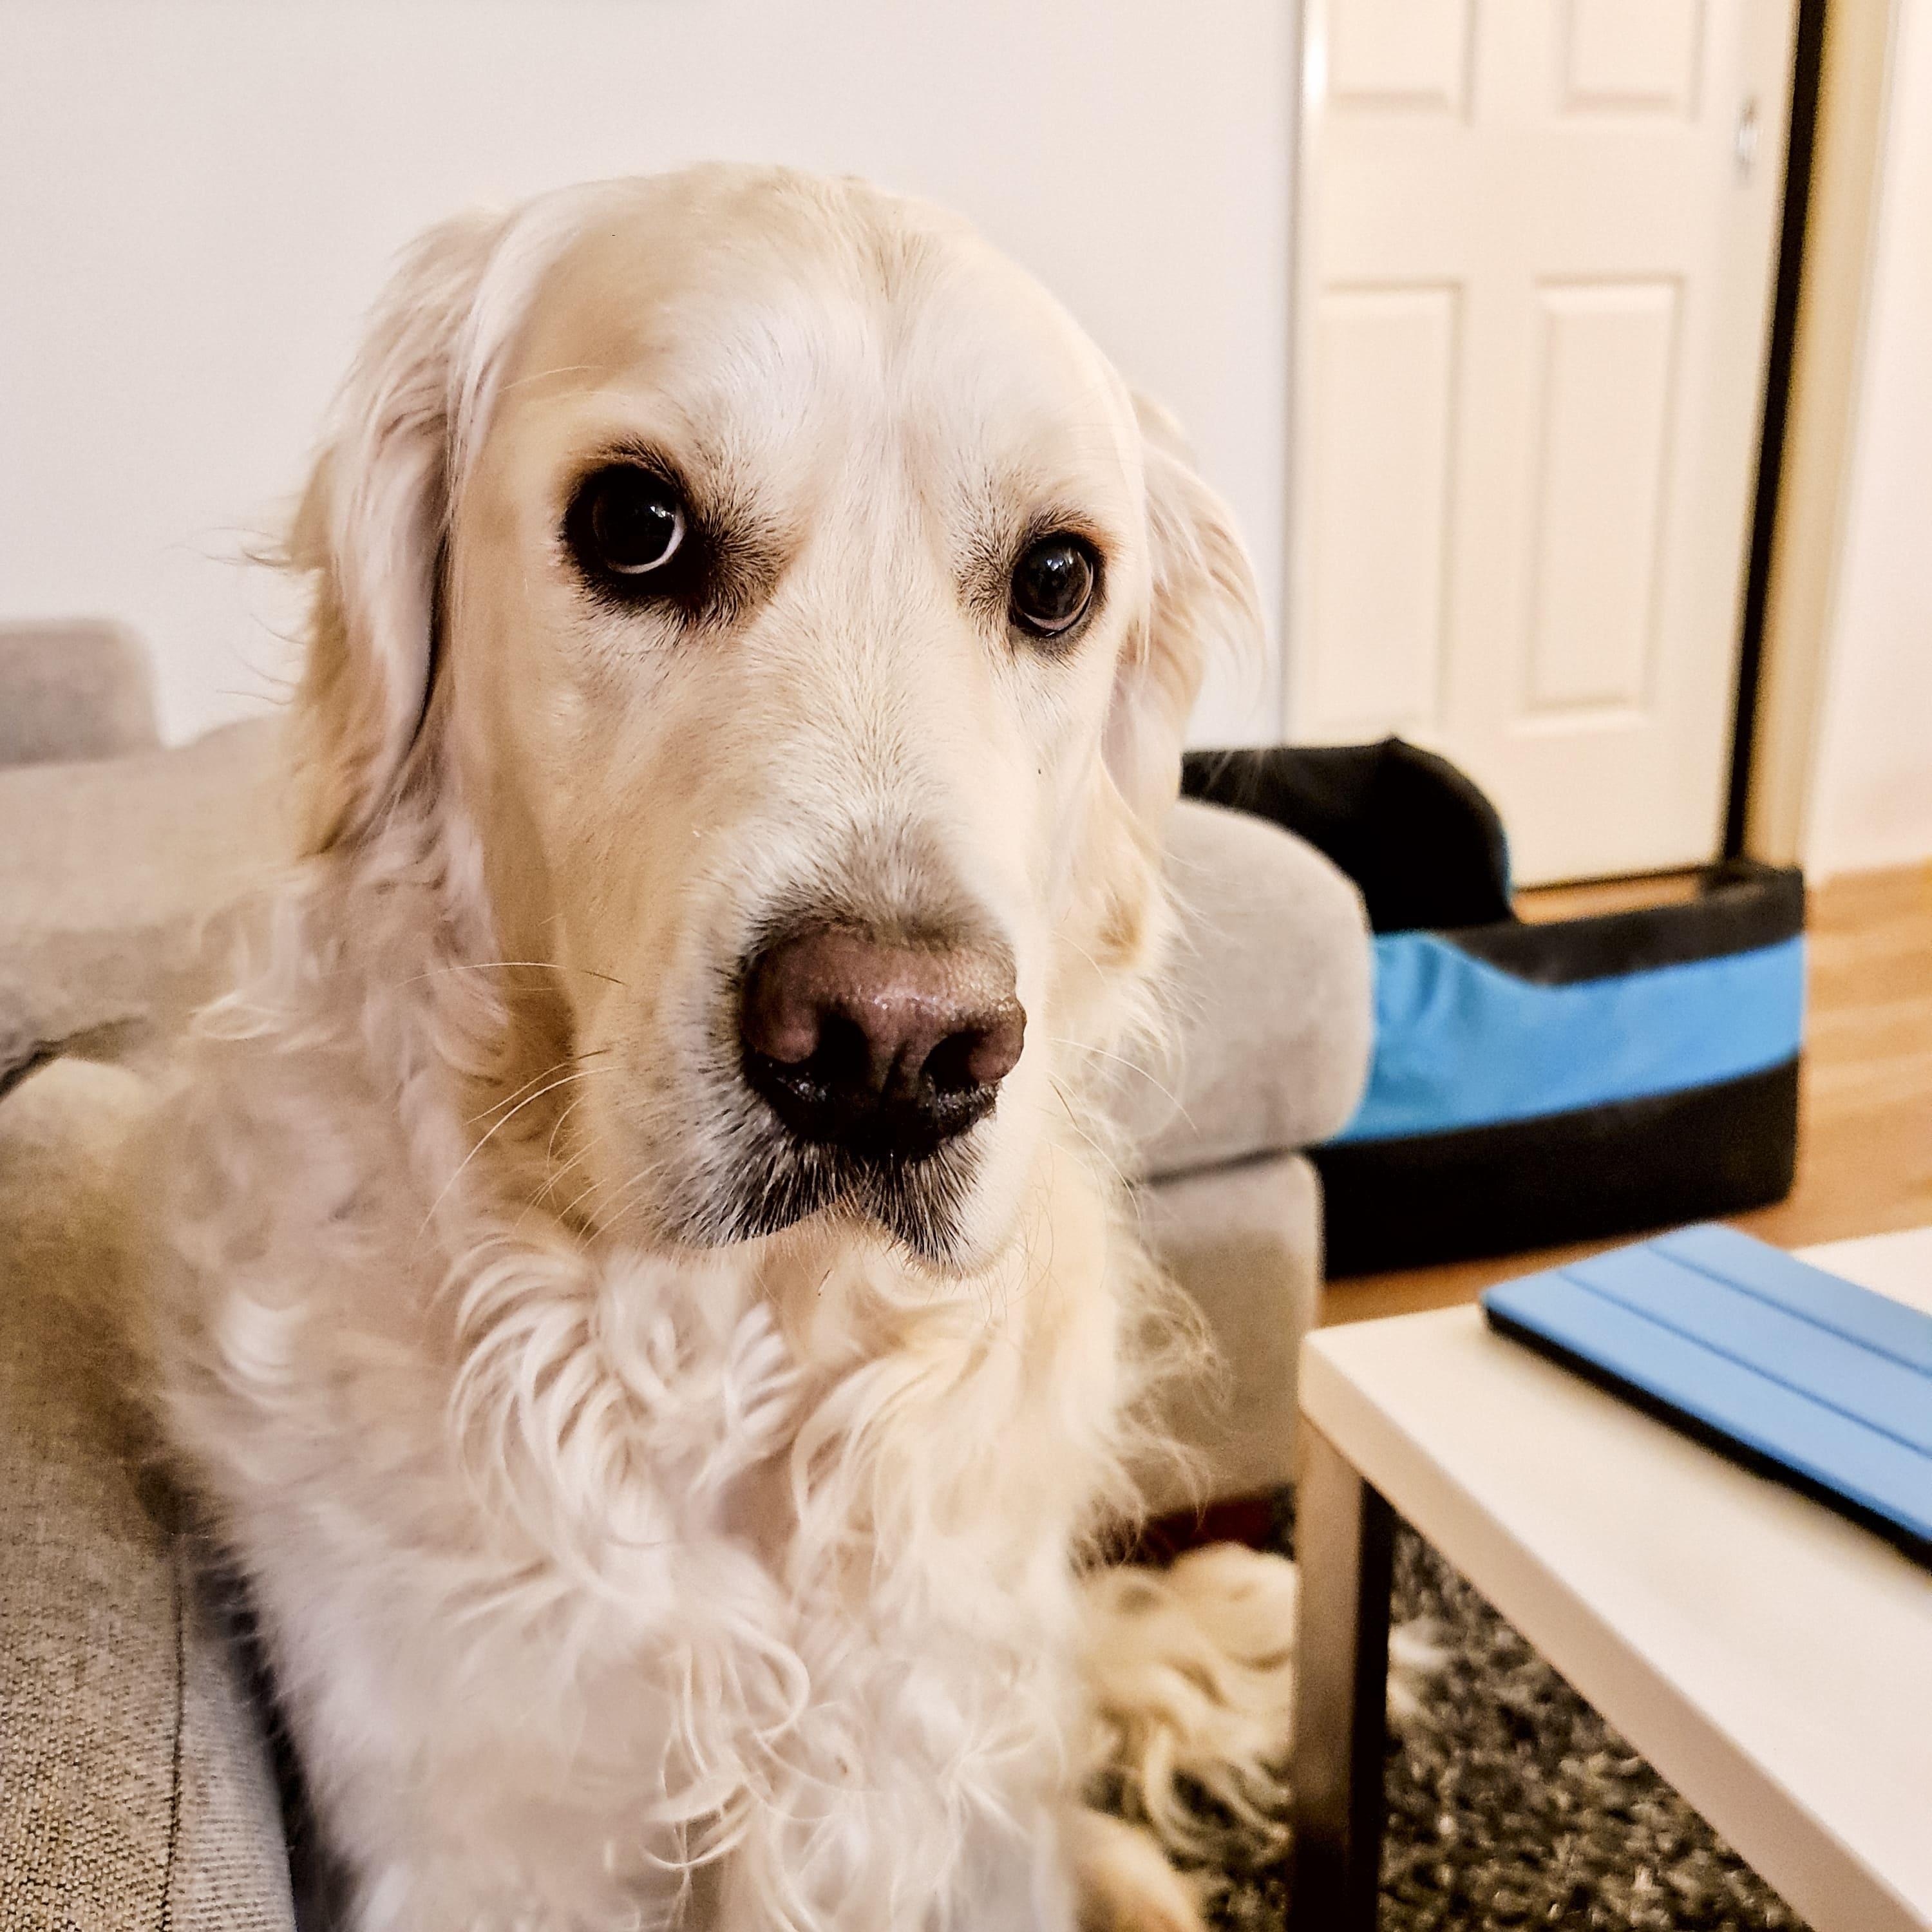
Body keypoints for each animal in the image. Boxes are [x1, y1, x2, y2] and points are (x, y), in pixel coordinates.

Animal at [141, 164, 1301, 1932]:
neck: (729, 1353)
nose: (896, 1047)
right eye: (634, 525)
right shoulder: (467, 1848)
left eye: (1056, 579)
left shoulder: (943, 1798)